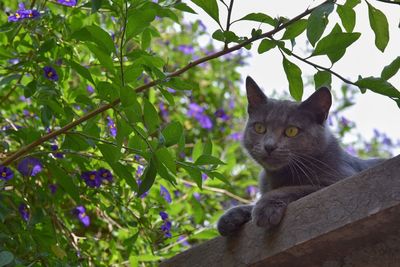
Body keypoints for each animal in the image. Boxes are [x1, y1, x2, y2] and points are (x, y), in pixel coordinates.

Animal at [219, 77, 384, 237]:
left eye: (291, 131)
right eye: (259, 127)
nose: (269, 146)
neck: (276, 176)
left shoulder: (340, 179)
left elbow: (297, 188)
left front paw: (265, 206)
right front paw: (230, 216)